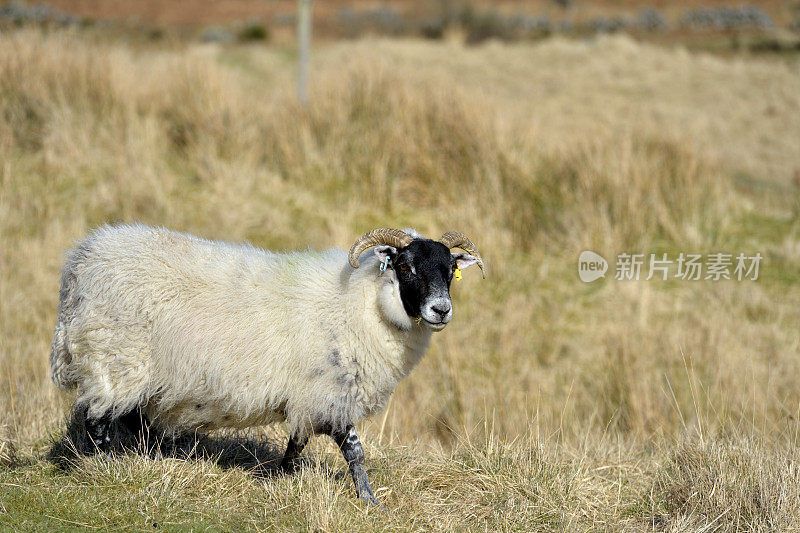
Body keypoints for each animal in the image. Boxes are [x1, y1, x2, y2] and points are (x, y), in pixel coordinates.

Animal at [51, 223, 488, 502]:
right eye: (405, 266)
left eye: (451, 270)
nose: (441, 310)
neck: (364, 303)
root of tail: (79, 264)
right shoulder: (330, 391)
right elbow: (355, 451)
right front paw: (369, 501)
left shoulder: (309, 397)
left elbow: (296, 442)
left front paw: (280, 479)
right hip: (115, 358)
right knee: (97, 421)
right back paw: (107, 468)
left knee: (125, 421)